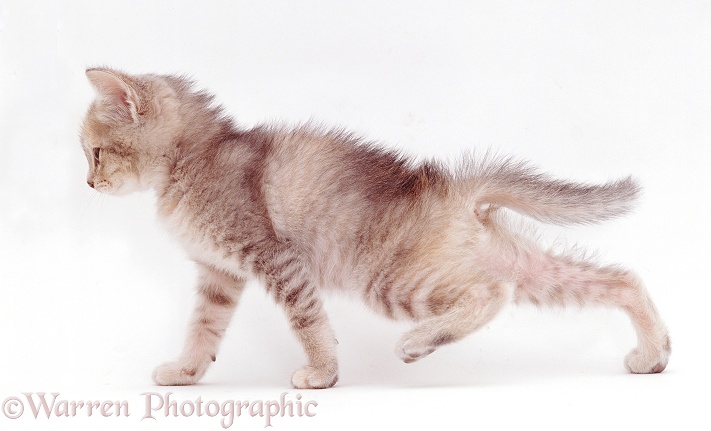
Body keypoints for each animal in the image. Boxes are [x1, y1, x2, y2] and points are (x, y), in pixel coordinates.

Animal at [80, 68, 672, 392]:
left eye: (95, 152)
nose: (87, 183)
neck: (192, 159)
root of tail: (451, 189)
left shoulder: (275, 257)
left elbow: (308, 320)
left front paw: (321, 374)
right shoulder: (218, 275)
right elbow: (203, 329)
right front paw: (185, 372)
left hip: (392, 279)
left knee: (490, 294)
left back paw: (417, 343)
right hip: (524, 268)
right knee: (620, 279)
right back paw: (654, 353)